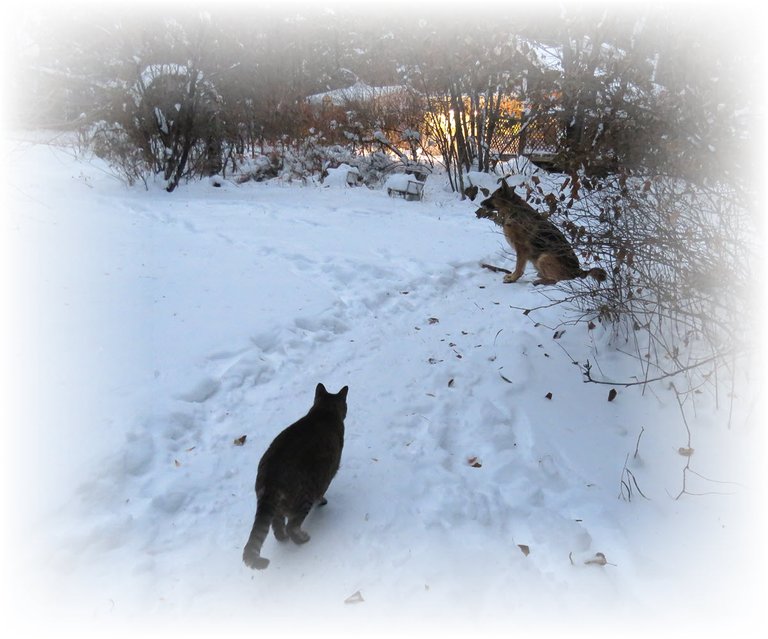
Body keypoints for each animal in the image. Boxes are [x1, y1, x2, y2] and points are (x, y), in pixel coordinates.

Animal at [243, 382, 348, 572]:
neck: (324, 412)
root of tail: (270, 480)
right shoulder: (329, 472)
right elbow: (322, 492)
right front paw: (322, 501)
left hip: (277, 508)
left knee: (277, 526)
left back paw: (283, 537)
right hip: (303, 498)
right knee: (291, 525)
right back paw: (302, 539)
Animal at [474, 179, 608, 286]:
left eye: (493, 197)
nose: (480, 203)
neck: (513, 209)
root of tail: (578, 271)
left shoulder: (521, 248)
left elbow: (519, 267)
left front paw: (513, 278)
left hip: (543, 257)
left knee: (558, 280)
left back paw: (540, 281)